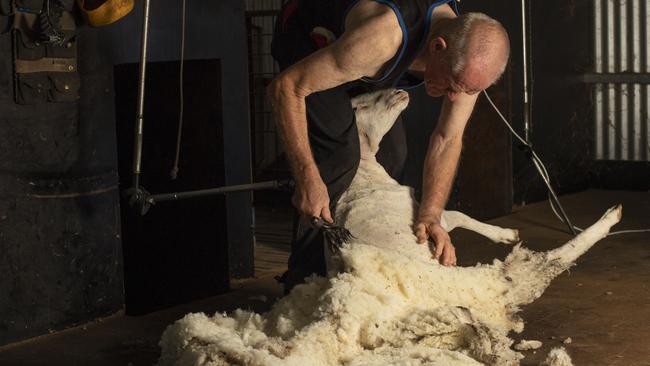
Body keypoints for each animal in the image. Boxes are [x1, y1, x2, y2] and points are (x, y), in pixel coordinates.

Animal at [157, 88, 616, 366]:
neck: (363, 174)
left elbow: (460, 219)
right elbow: (459, 217)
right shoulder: (422, 216)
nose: (398, 89)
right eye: (359, 105)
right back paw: (611, 216)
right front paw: (507, 235)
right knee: (552, 259)